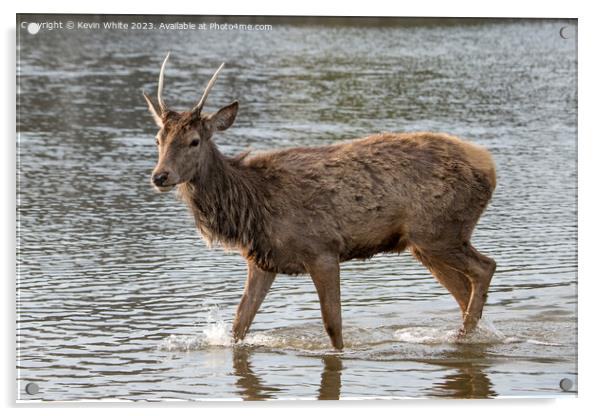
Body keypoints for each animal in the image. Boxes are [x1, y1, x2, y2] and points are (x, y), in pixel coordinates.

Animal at [143, 53, 494, 350]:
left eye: (194, 141)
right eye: (158, 139)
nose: (160, 176)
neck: (251, 205)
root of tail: (490, 167)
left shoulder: (322, 249)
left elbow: (333, 326)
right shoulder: (261, 261)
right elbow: (239, 325)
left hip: (440, 232)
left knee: (484, 268)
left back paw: (464, 336)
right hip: (424, 243)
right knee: (464, 290)